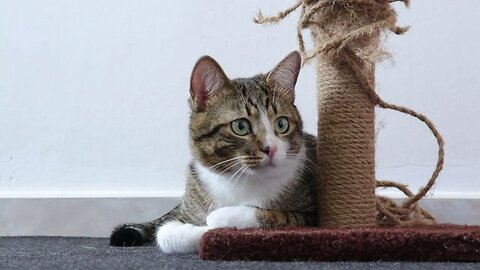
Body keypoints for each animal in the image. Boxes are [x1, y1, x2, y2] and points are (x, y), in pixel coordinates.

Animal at [109, 50, 318, 253]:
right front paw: (203, 231)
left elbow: (280, 217)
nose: (271, 148)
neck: (239, 180)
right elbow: (166, 233)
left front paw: (218, 221)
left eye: (281, 124)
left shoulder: (311, 215)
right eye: (241, 126)